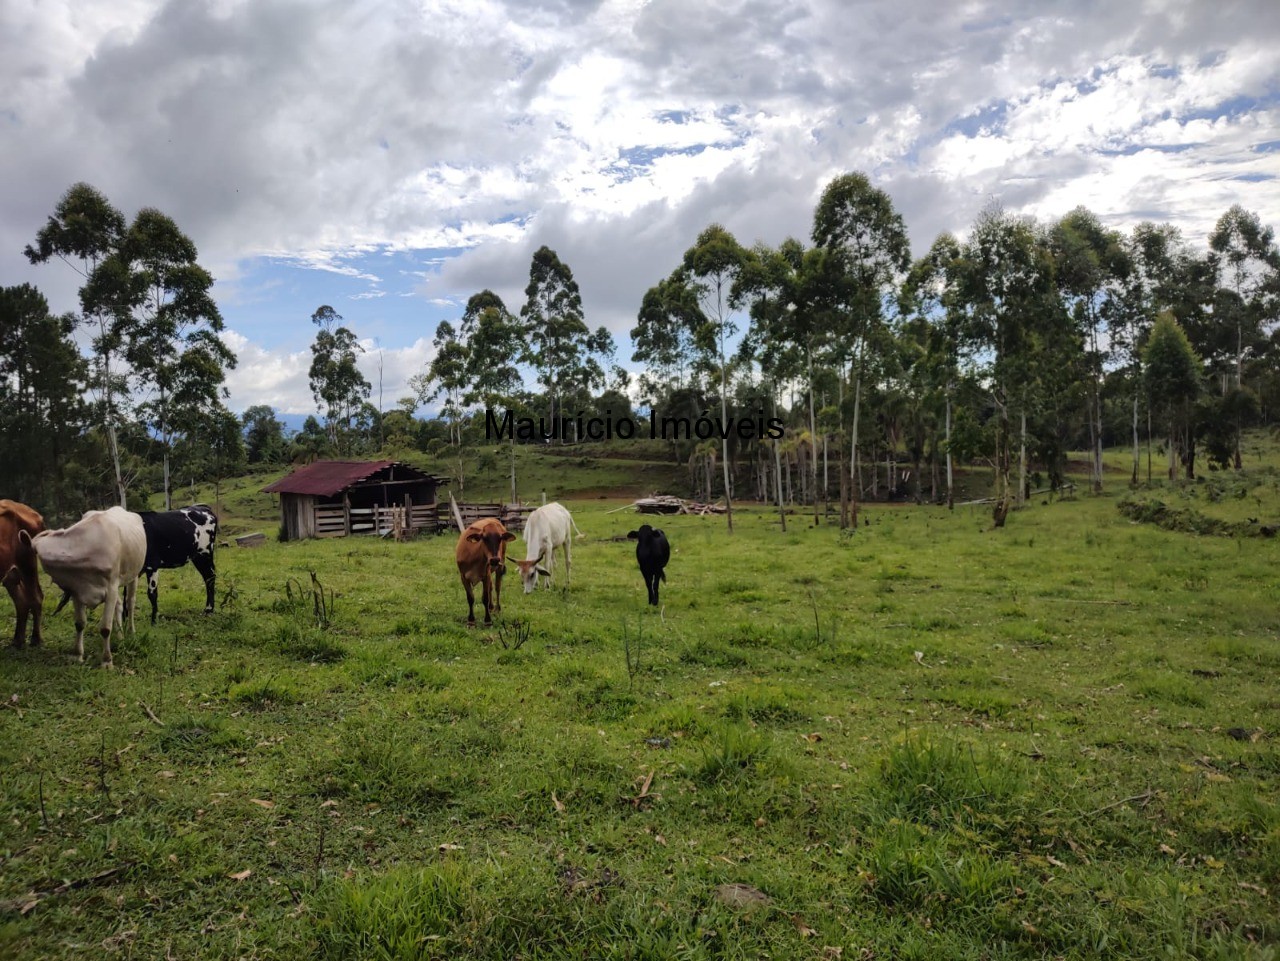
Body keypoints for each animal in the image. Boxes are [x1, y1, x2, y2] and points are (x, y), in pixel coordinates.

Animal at [0, 499, 45, 650]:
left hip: (28, 563)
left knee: (36, 597)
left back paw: (36, 639)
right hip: (11, 574)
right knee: (22, 601)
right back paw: (18, 640)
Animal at [24, 504, 146, 670]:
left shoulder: (111, 588)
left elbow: (105, 628)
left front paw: (107, 661)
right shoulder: (77, 590)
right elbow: (80, 624)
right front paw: (77, 655)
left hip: (133, 575)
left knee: (131, 603)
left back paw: (131, 631)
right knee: (120, 605)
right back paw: (120, 635)